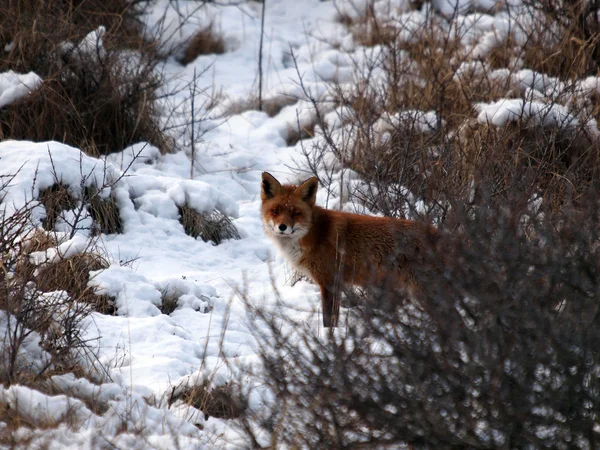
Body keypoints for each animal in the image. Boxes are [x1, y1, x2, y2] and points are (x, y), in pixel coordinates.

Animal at [260, 172, 438, 326]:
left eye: (295, 213)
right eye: (275, 211)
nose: (282, 227)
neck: (315, 234)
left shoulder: (329, 282)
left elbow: (328, 320)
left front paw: (329, 339)